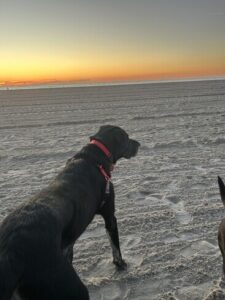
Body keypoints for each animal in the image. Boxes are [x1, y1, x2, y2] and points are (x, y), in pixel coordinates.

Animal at [0, 126, 140, 300]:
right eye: (127, 138)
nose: (139, 144)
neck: (93, 157)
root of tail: (11, 251)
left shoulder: (68, 242)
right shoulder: (110, 216)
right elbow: (116, 248)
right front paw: (121, 265)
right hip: (69, 286)